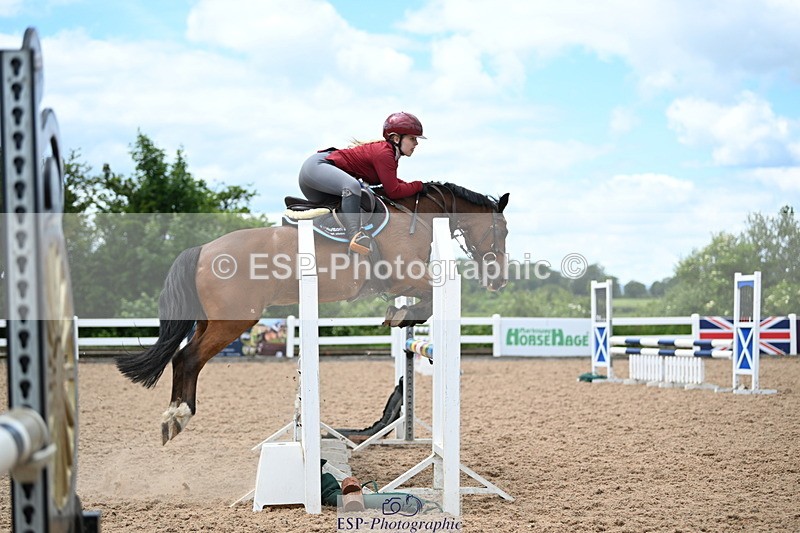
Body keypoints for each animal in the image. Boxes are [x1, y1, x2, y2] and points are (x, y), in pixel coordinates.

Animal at [116, 182, 510, 444]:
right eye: (502, 230)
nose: (499, 281)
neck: (418, 217)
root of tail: (202, 250)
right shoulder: (404, 277)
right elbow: (426, 298)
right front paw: (401, 317)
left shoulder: (403, 282)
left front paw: (402, 317)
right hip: (235, 319)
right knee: (188, 357)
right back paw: (178, 417)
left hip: (211, 320)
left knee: (183, 357)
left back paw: (173, 419)